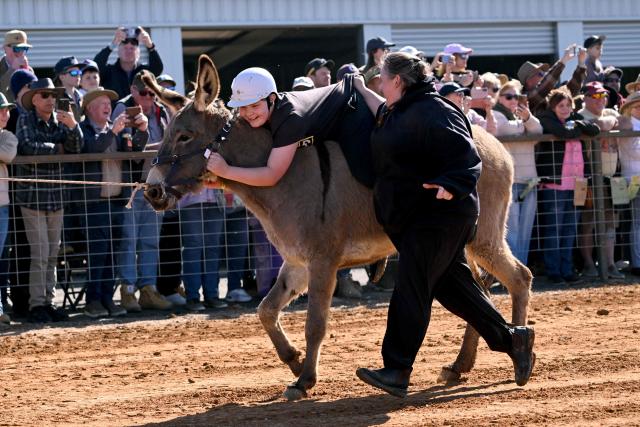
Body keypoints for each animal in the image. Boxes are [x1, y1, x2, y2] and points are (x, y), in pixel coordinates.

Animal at [142, 55, 533, 401]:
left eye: (184, 136)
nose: (151, 190)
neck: (281, 175)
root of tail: (495, 144)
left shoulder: (322, 262)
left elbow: (315, 324)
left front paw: (303, 381)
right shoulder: (297, 263)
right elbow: (266, 310)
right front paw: (293, 360)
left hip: (482, 237)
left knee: (518, 278)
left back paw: (519, 356)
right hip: (462, 243)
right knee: (481, 288)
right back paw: (461, 365)